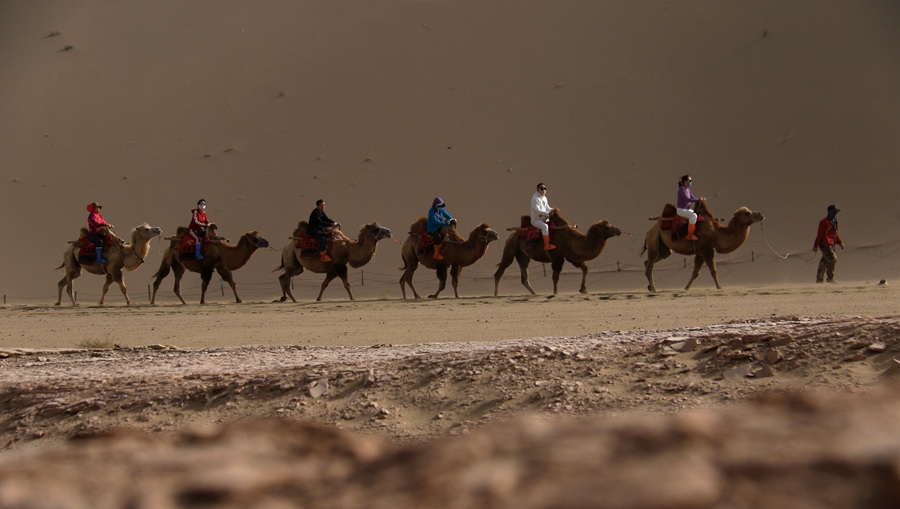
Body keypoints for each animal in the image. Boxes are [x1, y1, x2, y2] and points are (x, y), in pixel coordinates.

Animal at [492, 210, 620, 296]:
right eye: (607, 227)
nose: (619, 230)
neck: (573, 240)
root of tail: (512, 234)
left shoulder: (571, 257)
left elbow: (585, 268)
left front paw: (583, 289)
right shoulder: (558, 257)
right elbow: (555, 276)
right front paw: (555, 293)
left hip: (522, 255)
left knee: (524, 276)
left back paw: (534, 294)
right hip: (511, 248)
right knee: (501, 270)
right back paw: (496, 294)